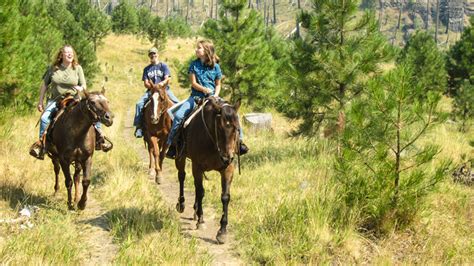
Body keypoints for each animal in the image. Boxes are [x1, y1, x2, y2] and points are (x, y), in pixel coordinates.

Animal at [174, 96, 241, 244]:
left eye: (236, 128)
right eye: (220, 128)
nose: (227, 157)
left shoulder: (228, 169)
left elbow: (225, 197)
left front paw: (222, 231)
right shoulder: (197, 166)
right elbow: (201, 192)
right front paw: (201, 221)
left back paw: (194, 211)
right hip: (180, 157)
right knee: (182, 176)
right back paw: (182, 204)